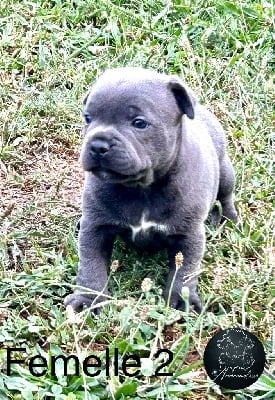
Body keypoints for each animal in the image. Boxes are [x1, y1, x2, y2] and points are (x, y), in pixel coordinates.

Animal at [63, 68, 238, 312]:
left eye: (139, 123)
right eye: (88, 118)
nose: (98, 145)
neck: (141, 188)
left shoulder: (188, 234)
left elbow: (185, 270)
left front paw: (181, 300)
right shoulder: (96, 228)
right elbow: (91, 266)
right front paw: (88, 300)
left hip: (225, 171)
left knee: (226, 196)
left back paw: (229, 219)